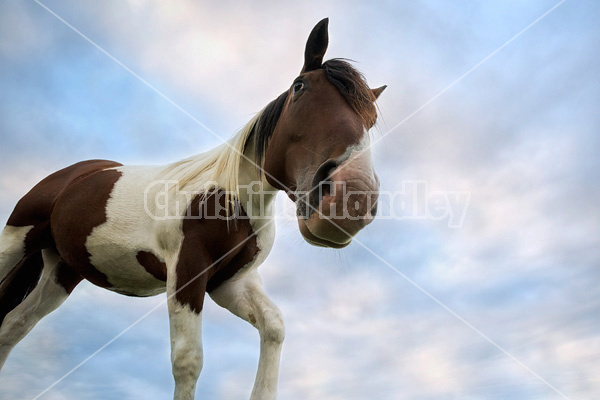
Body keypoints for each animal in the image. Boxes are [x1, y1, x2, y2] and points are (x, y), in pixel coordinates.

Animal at [0, 18, 384, 400]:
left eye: (371, 120)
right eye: (300, 87)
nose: (352, 198)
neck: (232, 199)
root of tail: (74, 173)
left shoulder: (230, 283)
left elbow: (274, 327)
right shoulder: (187, 271)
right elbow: (188, 361)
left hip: (62, 271)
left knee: (12, 327)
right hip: (16, 240)